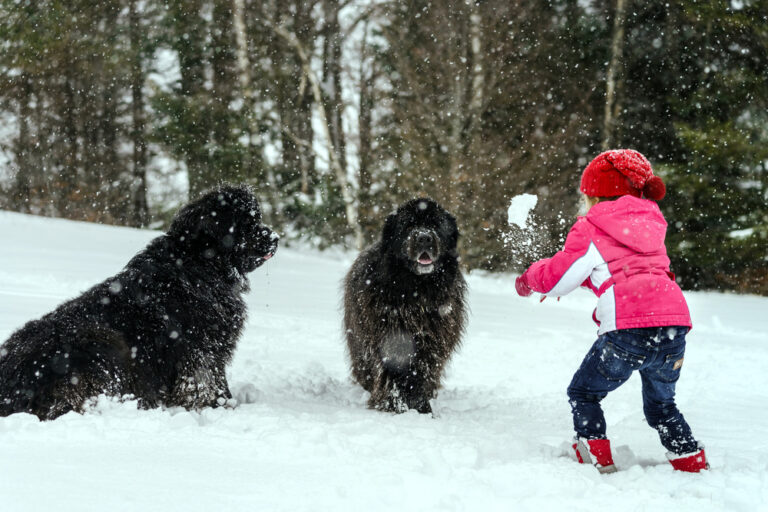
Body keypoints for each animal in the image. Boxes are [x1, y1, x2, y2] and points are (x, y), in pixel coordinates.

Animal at [0, 184, 276, 420]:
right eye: (246, 224)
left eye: (257, 218)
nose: (274, 237)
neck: (197, 263)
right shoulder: (200, 350)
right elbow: (206, 383)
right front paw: (223, 408)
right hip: (100, 340)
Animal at [344, 198, 468, 414]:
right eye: (408, 226)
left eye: (436, 225)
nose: (424, 238)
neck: (417, 293)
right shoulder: (391, 336)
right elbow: (396, 373)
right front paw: (396, 405)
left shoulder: (433, 342)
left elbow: (422, 373)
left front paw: (422, 408)